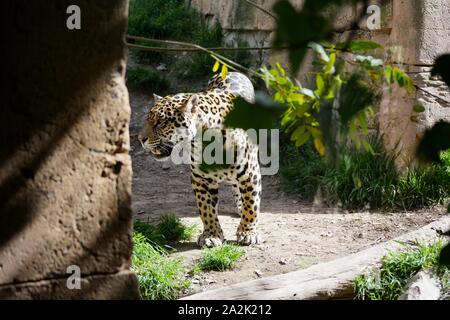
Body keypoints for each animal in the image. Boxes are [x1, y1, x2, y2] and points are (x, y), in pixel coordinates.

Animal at [139, 72, 262, 248]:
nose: (140, 139)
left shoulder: (250, 173)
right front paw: (211, 235)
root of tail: (232, 72)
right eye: (148, 120)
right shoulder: (200, 179)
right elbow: (206, 209)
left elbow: (251, 205)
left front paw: (248, 233)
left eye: (160, 123)